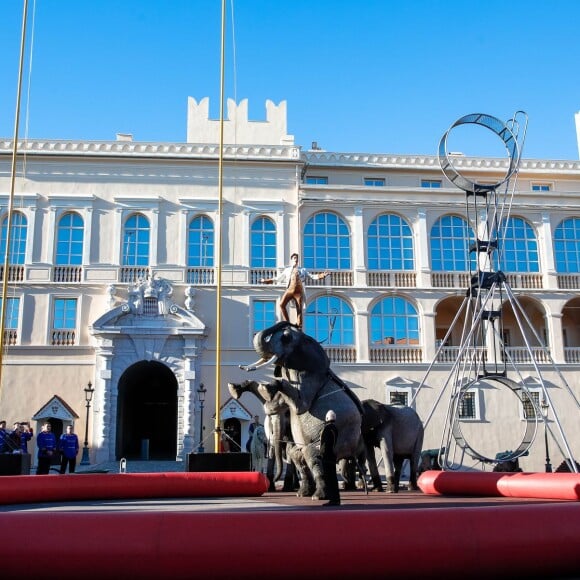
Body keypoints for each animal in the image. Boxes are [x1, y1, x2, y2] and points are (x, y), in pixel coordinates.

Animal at [234, 320, 362, 500]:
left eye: (286, 338)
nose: (289, 322)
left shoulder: (311, 377)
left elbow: (301, 406)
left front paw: (269, 386)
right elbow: (275, 404)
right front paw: (240, 389)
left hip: (335, 443)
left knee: (314, 457)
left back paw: (318, 496)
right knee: (298, 456)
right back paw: (303, 493)